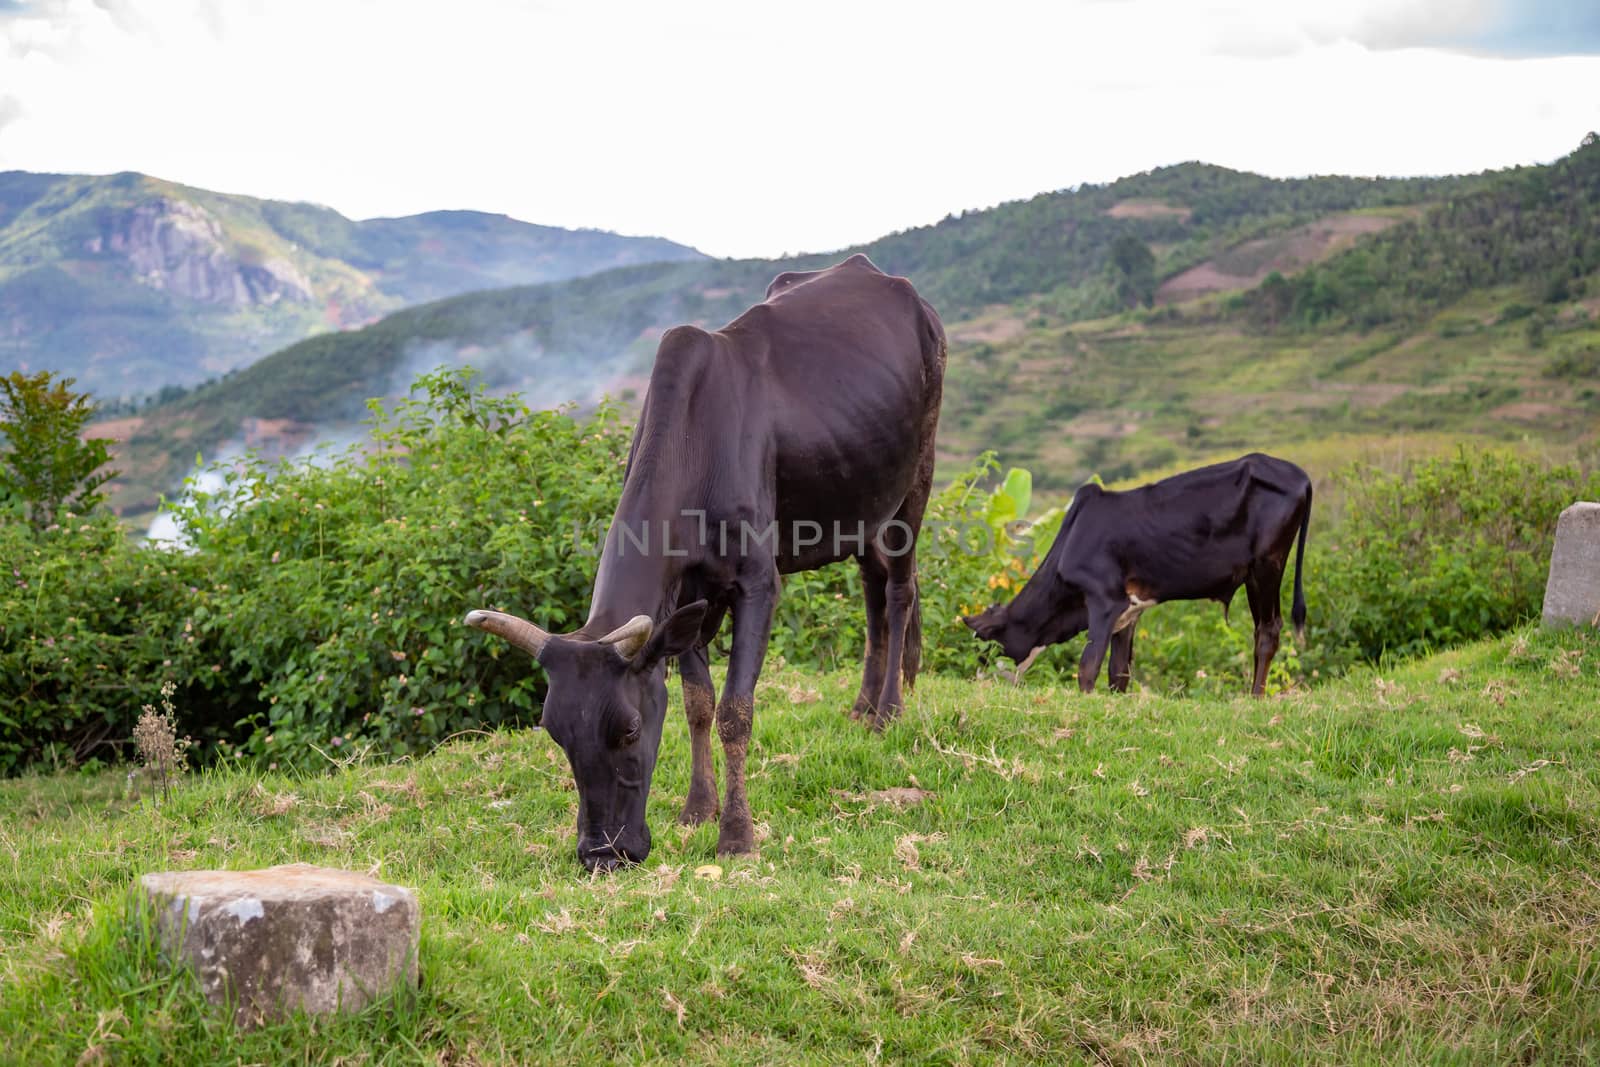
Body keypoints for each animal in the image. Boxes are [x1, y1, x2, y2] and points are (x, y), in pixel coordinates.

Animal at [464, 254, 940, 870]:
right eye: (556, 733)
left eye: (629, 730)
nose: (601, 854)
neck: (697, 444)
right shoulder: (686, 599)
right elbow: (698, 703)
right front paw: (697, 807)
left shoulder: (758, 585)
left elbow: (736, 710)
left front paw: (737, 834)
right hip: (861, 503)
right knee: (871, 591)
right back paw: (861, 707)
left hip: (914, 487)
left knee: (899, 591)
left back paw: (888, 712)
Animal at [960, 454, 1312, 697]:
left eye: (985, 649)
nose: (978, 684)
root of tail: (1300, 475)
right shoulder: (1129, 611)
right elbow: (1119, 673)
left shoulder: (1104, 600)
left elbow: (1087, 668)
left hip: (1266, 565)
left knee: (1267, 631)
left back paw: (1254, 698)